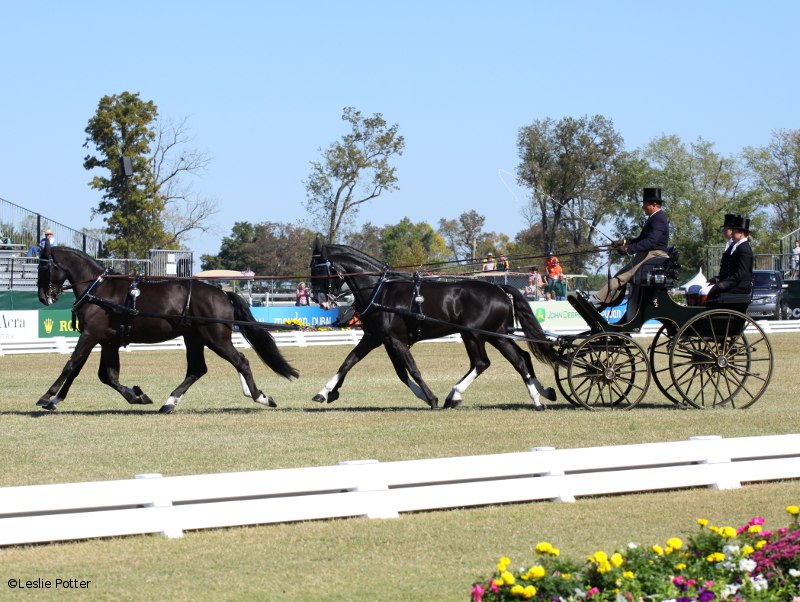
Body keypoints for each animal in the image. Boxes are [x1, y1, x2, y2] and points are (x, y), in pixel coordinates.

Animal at [34, 241, 296, 410]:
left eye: (43, 266)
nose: (43, 297)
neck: (99, 289)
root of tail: (222, 292)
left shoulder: (90, 335)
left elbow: (71, 365)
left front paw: (47, 397)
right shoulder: (106, 341)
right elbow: (104, 375)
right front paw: (137, 396)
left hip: (215, 339)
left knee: (240, 361)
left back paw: (260, 397)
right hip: (195, 339)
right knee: (198, 369)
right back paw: (170, 402)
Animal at [310, 239, 560, 408]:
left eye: (319, 269)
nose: (319, 300)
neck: (380, 290)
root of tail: (499, 288)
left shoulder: (395, 340)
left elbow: (412, 369)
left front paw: (431, 398)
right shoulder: (377, 338)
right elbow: (350, 362)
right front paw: (325, 392)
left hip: (474, 335)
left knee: (484, 362)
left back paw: (457, 395)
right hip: (495, 335)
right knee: (520, 359)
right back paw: (541, 394)